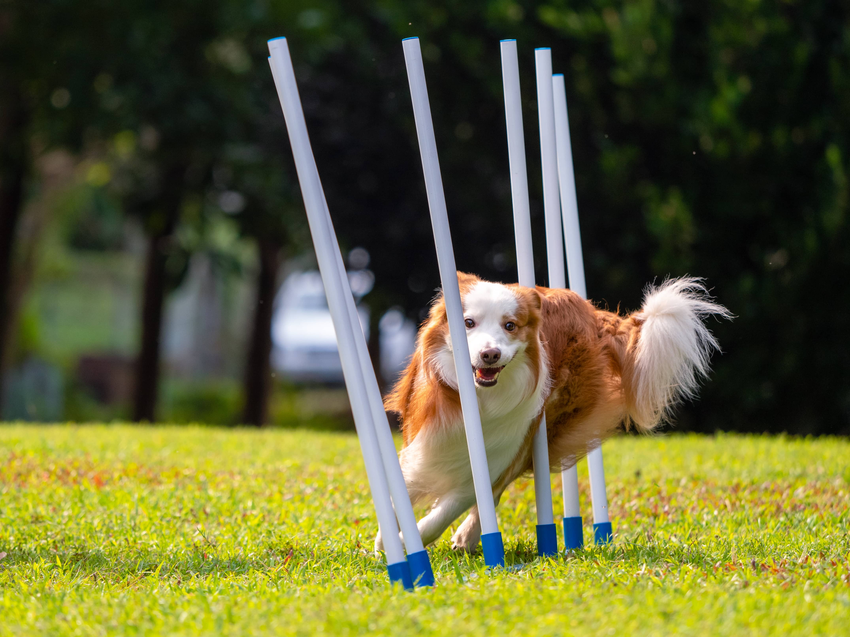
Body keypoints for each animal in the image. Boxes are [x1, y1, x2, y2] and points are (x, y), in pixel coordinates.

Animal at [376, 272, 728, 552]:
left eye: (510, 326)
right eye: (468, 323)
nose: (490, 354)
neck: (480, 398)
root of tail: (592, 312)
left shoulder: (502, 448)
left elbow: (458, 501)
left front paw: (407, 541)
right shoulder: (426, 441)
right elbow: (405, 487)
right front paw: (391, 535)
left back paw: (467, 536)